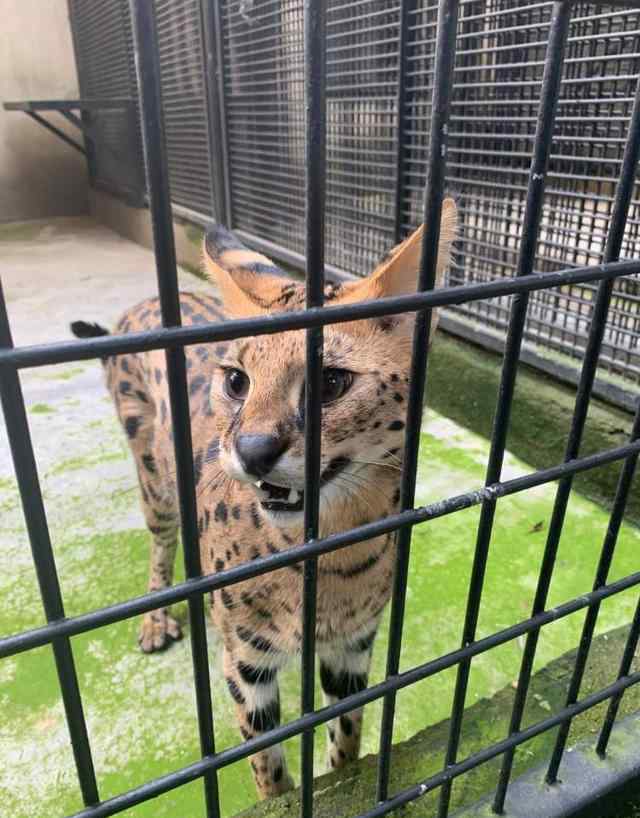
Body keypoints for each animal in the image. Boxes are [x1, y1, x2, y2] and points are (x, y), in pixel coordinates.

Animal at [71, 198, 457, 800]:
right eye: (236, 381)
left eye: (330, 383)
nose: (251, 451)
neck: (328, 551)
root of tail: (147, 300)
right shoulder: (245, 662)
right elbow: (266, 763)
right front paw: (279, 797)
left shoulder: (354, 647)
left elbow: (347, 735)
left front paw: (344, 781)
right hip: (153, 477)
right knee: (161, 539)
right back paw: (156, 616)